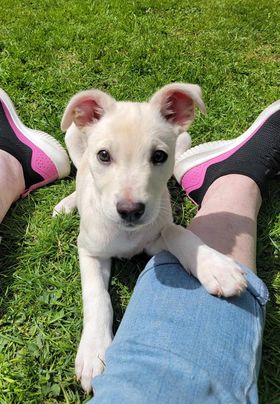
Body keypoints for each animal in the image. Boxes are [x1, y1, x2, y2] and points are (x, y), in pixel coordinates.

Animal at [55, 83, 247, 392]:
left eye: (159, 156)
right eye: (103, 155)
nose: (130, 211)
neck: (126, 232)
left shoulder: (157, 233)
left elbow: (175, 230)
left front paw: (216, 267)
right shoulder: (90, 251)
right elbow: (97, 297)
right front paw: (94, 352)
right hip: (72, 136)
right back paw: (67, 204)